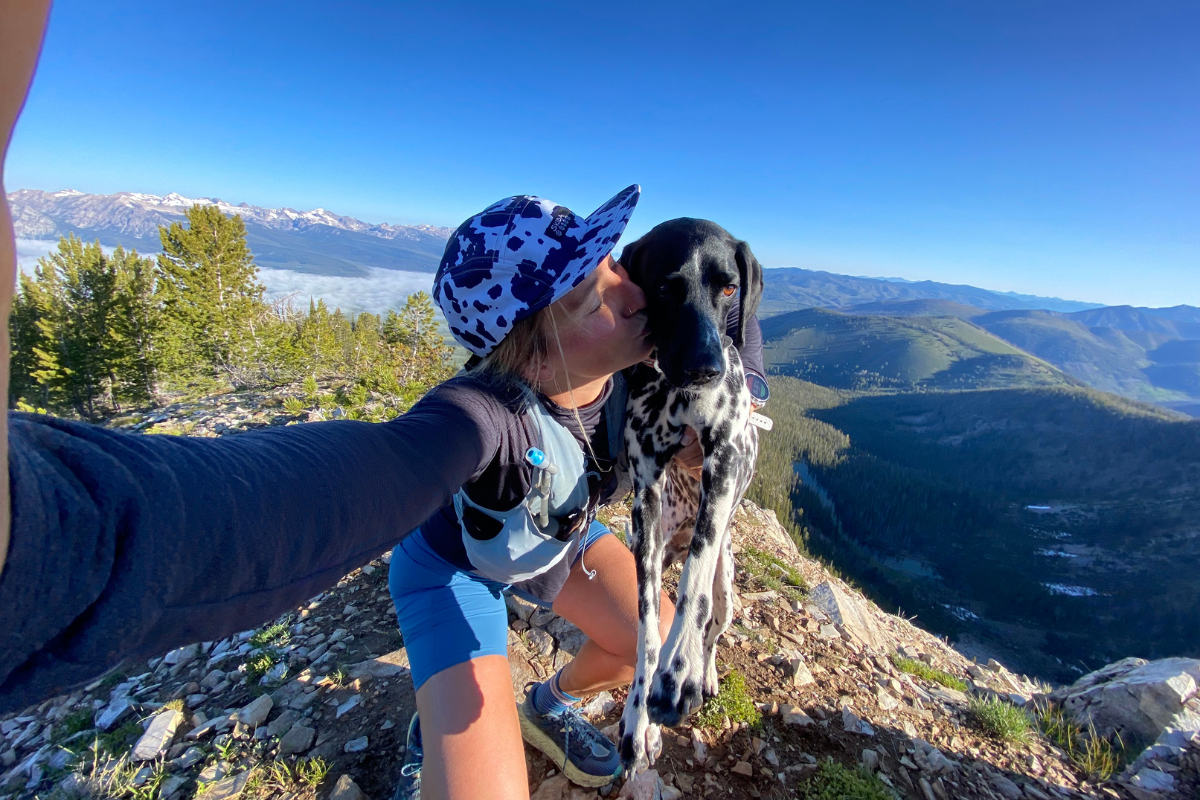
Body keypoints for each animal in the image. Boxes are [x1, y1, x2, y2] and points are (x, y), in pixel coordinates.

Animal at [614, 217, 763, 767]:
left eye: (729, 287)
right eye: (664, 288)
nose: (706, 368)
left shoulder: (724, 464)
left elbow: (693, 585)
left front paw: (679, 671)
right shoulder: (645, 501)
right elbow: (646, 627)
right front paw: (638, 717)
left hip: (729, 589)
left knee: (713, 623)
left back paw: (705, 670)